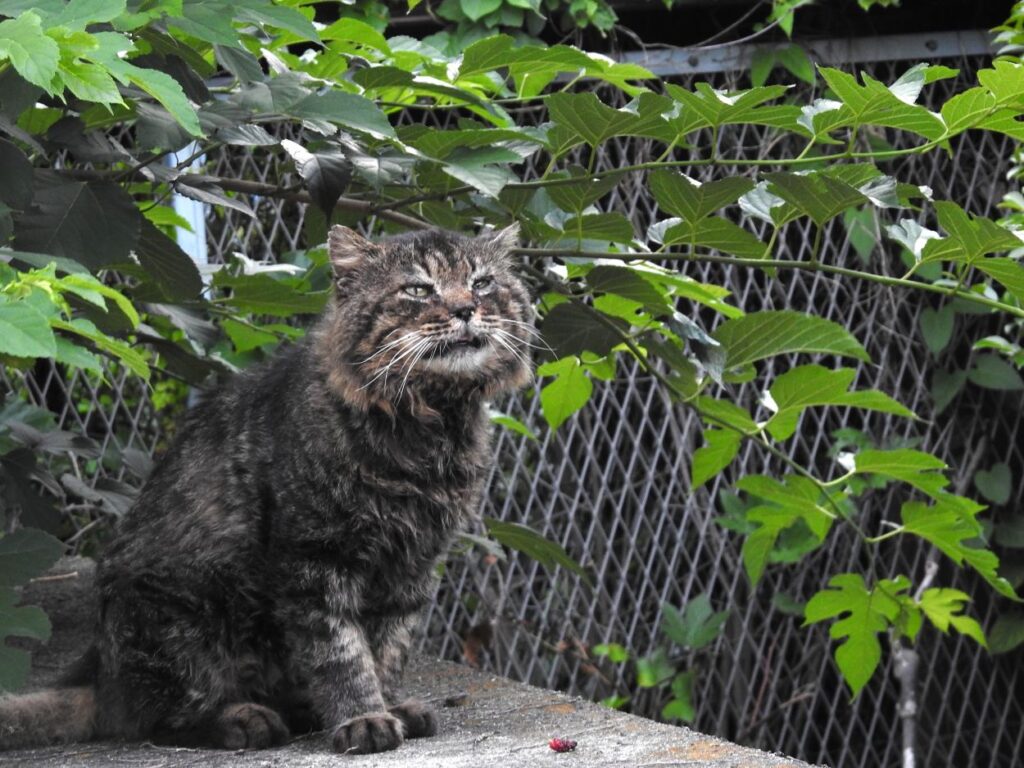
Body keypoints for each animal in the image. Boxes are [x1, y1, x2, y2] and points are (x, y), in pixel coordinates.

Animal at [0, 224, 533, 755]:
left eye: (482, 283)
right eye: (419, 289)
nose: (466, 309)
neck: (427, 427)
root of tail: (100, 675)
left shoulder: (412, 564)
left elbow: (386, 648)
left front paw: (388, 703)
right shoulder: (314, 559)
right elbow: (342, 653)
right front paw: (364, 718)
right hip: (178, 616)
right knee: (160, 718)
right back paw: (245, 720)